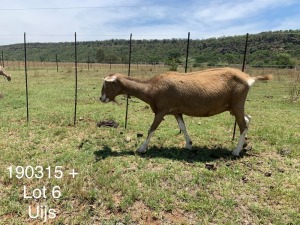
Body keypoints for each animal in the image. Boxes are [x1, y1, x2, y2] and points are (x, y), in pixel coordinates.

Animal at [100, 67, 272, 156]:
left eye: (107, 85)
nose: (101, 98)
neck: (151, 87)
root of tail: (249, 78)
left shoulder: (161, 111)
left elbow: (151, 129)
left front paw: (141, 148)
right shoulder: (176, 111)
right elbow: (183, 127)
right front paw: (189, 145)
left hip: (237, 104)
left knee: (243, 125)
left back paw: (236, 151)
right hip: (234, 107)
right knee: (248, 119)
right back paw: (243, 145)